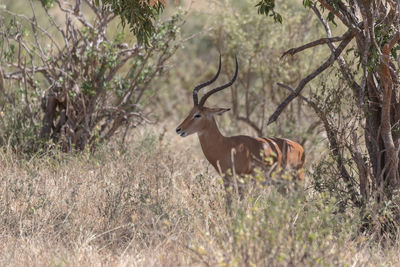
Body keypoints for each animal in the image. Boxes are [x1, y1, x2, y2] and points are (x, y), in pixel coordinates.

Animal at [177, 56, 304, 197]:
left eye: (198, 115)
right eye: (190, 112)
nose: (179, 129)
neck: (226, 146)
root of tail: (299, 147)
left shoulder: (242, 182)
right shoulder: (227, 182)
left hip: (297, 180)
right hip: (281, 184)